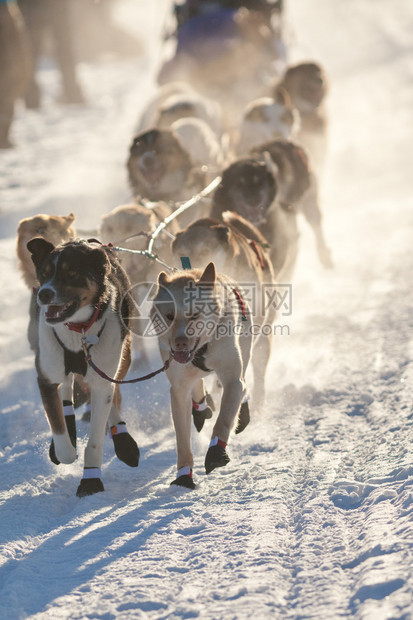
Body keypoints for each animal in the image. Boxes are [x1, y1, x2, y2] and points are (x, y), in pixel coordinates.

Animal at [27, 239, 140, 498]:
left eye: (71, 274)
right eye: (44, 274)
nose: (44, 293)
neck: (77, 330)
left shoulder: (103, 377)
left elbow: (96, 438)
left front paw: (90, 479)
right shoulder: (46, 378)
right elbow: (60, 434)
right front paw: (64, 447)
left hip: (121, 359)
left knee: (112, 395)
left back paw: (124, 441)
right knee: (68, 388)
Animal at [150, 262, 251, 490]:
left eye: (194, 314)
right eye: (170, 316)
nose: (179, 342)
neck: (202, 349)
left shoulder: (232, 379)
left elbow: (224, 419)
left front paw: (216, 451)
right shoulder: (178, 391)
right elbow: (182, 440)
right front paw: (183, 475)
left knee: (244, 385)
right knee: (197, 386)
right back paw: (201, 407)